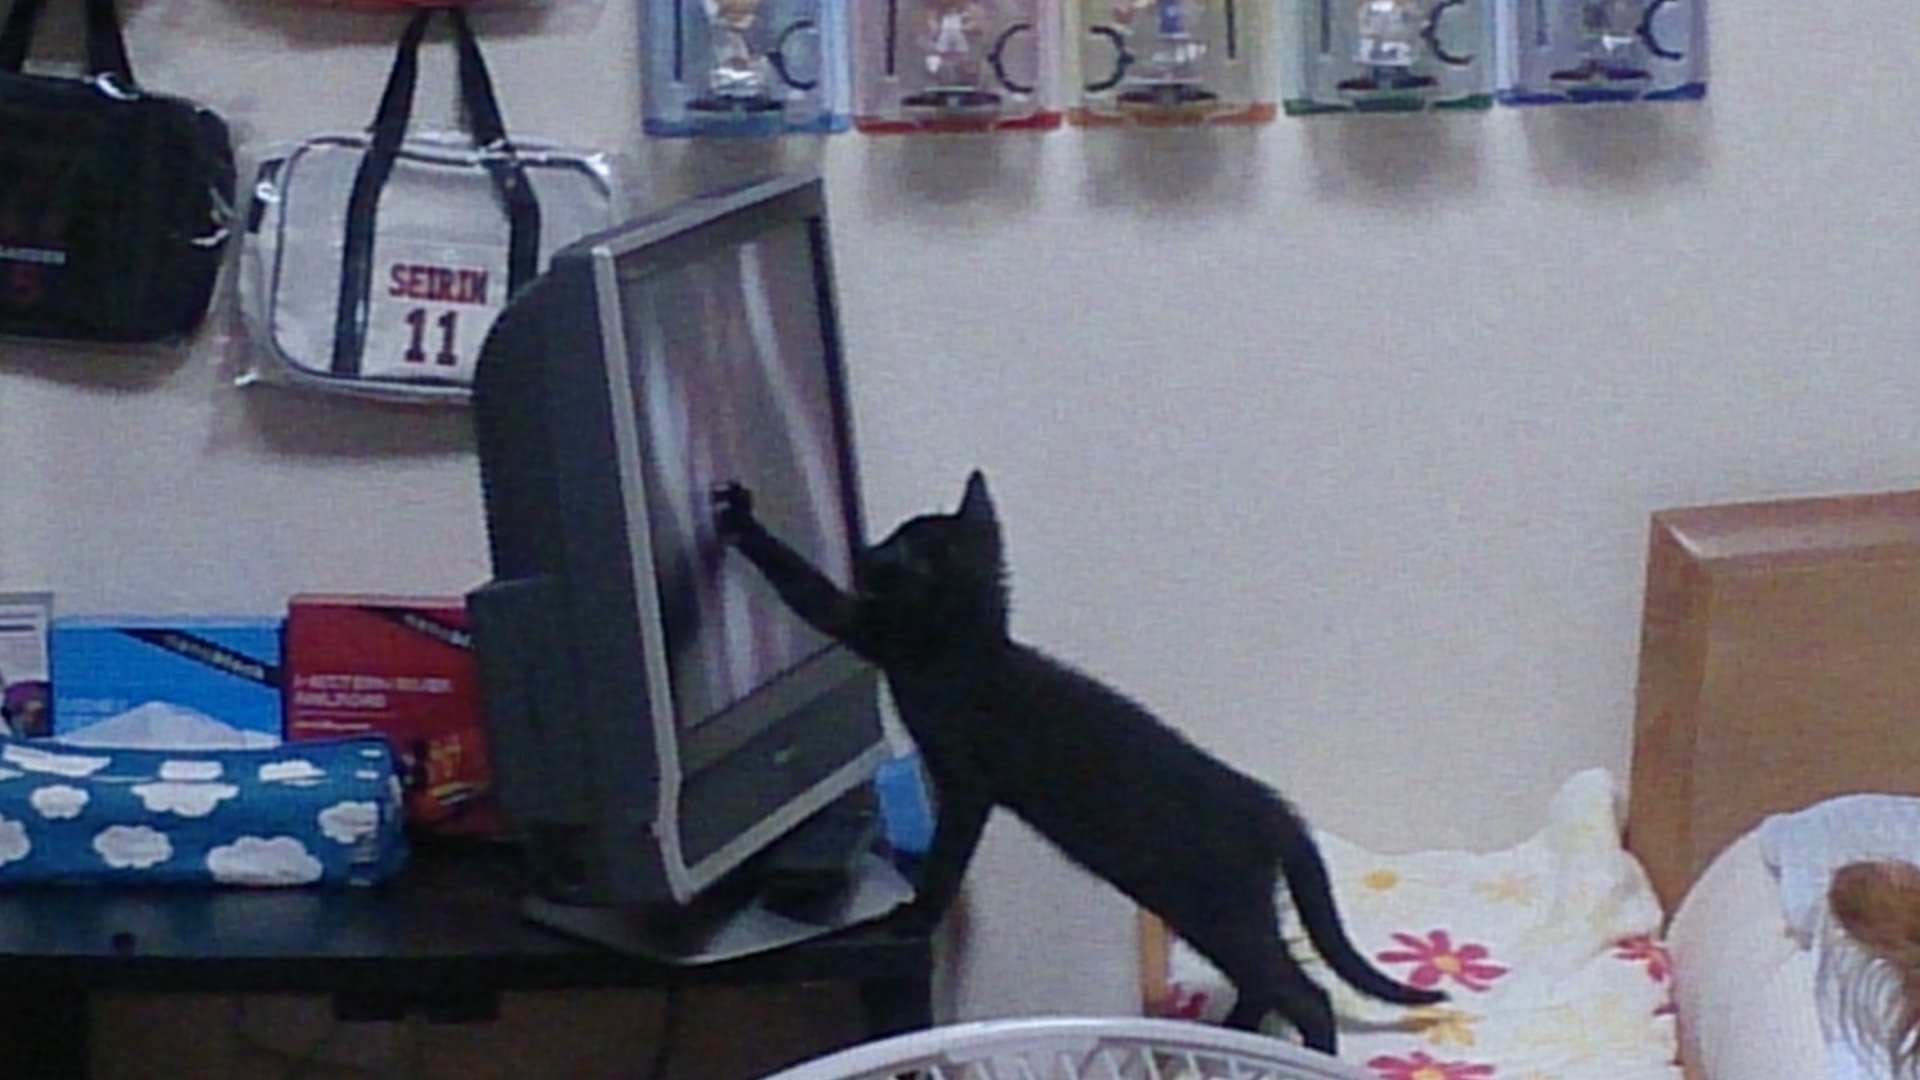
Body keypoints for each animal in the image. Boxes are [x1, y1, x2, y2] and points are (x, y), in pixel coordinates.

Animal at [711, 470, 1443, 1053]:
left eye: (897, 549)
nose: (865, 552)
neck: (968, 636)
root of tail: (1272, 807)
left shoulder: (956, 765)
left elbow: (811, 593)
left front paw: (741, 518)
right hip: (1211, 911)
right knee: (1265, 981)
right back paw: (1227, 1036)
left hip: (1220, 908)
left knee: (1302, 992)